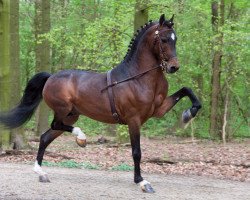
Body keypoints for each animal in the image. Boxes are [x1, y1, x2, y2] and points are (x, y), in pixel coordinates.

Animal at [0, 14, 200, 192]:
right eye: (164, 39)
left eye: (175, 39)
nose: (174, 67)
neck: (138, 77)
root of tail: (50, 77)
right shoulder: (133, 120)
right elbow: (137, 152)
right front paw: (142, 181)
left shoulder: (158, 110)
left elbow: (186, 90)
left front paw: (188, 114)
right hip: (63, 110)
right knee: (55, 125)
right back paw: (81, 137)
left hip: (71, 115)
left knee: (45, 137)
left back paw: (41, 172)